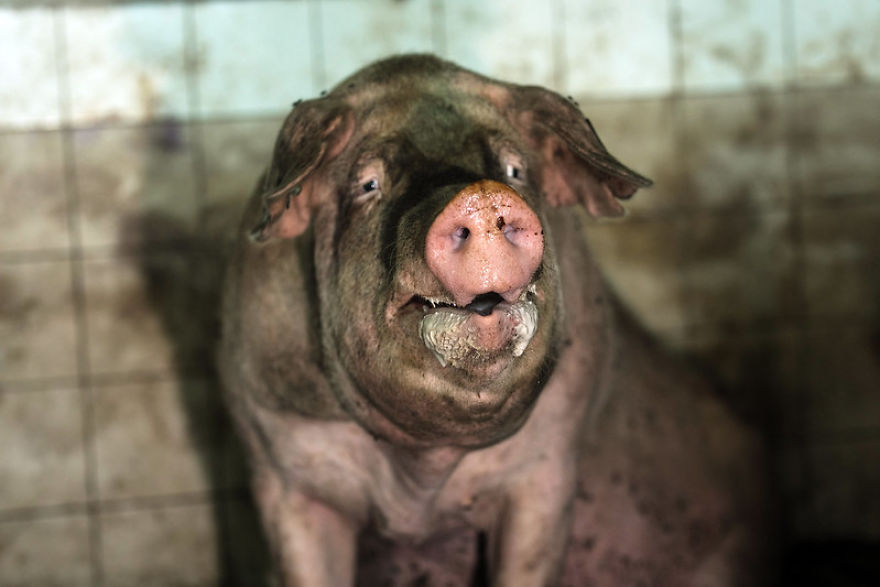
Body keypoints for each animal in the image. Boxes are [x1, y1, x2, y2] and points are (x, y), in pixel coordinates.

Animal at [219, 54, 772, 586]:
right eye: (367, 183)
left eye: (514, 170)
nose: (481, 196)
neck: (422, 482)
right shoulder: (280, 470)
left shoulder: (549, 464)